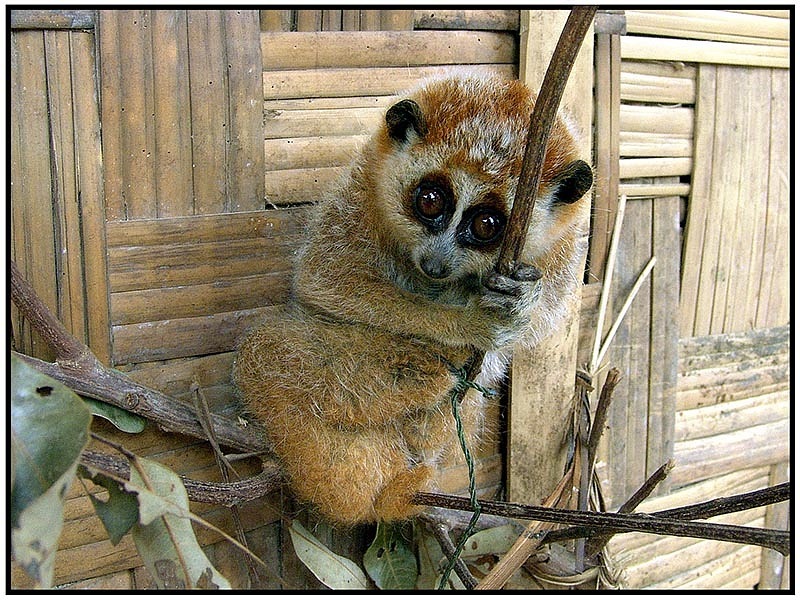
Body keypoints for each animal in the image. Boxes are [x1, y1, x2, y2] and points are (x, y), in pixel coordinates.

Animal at [234, 75, 593, 526]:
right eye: (430, 200)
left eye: (487, 225)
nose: (436, 263)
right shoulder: (362, 192)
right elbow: (328, 279)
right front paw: (474, 323)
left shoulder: (565, 245)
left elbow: (547, 317)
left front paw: (522, 300)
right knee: (266, 353)